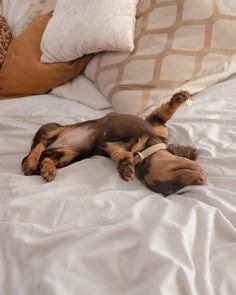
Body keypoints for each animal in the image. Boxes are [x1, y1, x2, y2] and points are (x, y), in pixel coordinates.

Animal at [21, 91, 205, 197]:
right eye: (174, 184)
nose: (202, 179)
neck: (149, 144)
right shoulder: (154, 124)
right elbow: (165, 112)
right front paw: (180, 97)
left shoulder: (110, 145)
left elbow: (121, 154)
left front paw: (126, 167)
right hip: (51, 128)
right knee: (38, 146)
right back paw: (30, 163)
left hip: (67, 155)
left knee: (47, 156)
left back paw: (47, 170)